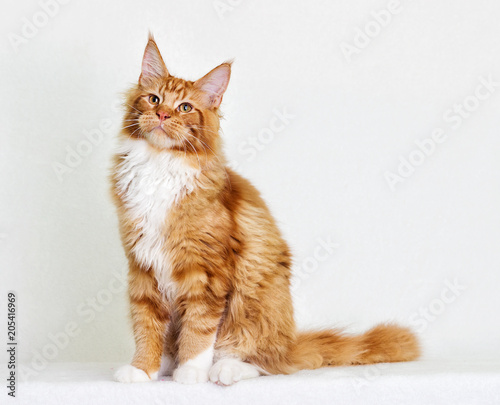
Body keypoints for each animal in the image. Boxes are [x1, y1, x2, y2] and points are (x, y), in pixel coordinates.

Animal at [111, 34, 420, 386]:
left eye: (185, 107)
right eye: (154, 99)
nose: (162, 115)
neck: (159, 165)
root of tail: (290, 343)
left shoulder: (207, 273)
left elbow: (199, 329)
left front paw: (190, 371)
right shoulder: (143, 269)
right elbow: (147, 327)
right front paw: (143, 368)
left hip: (255, 299)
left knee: (266, 362)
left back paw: (225, 369)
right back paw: (167, 364)